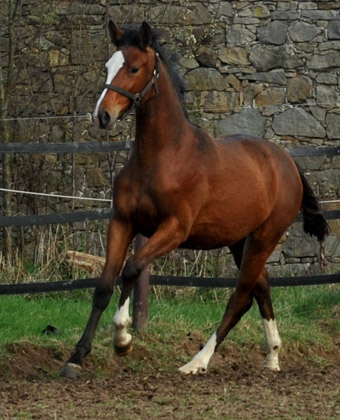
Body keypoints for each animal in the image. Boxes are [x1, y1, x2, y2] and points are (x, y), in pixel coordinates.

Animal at [59, 22, 328, 378]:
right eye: (107, 66)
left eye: (134, 68)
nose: (102, 116)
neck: (160, 157)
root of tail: (286, 161)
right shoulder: (122, 222)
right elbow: (103, 285)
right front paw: (76, 358)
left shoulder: (174, 229)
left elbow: (131, 269)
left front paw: (123, 339)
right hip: (239, 241)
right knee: (261, 289)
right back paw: (271, 357)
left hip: (265, 237)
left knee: (240, 297)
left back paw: (196, 362)